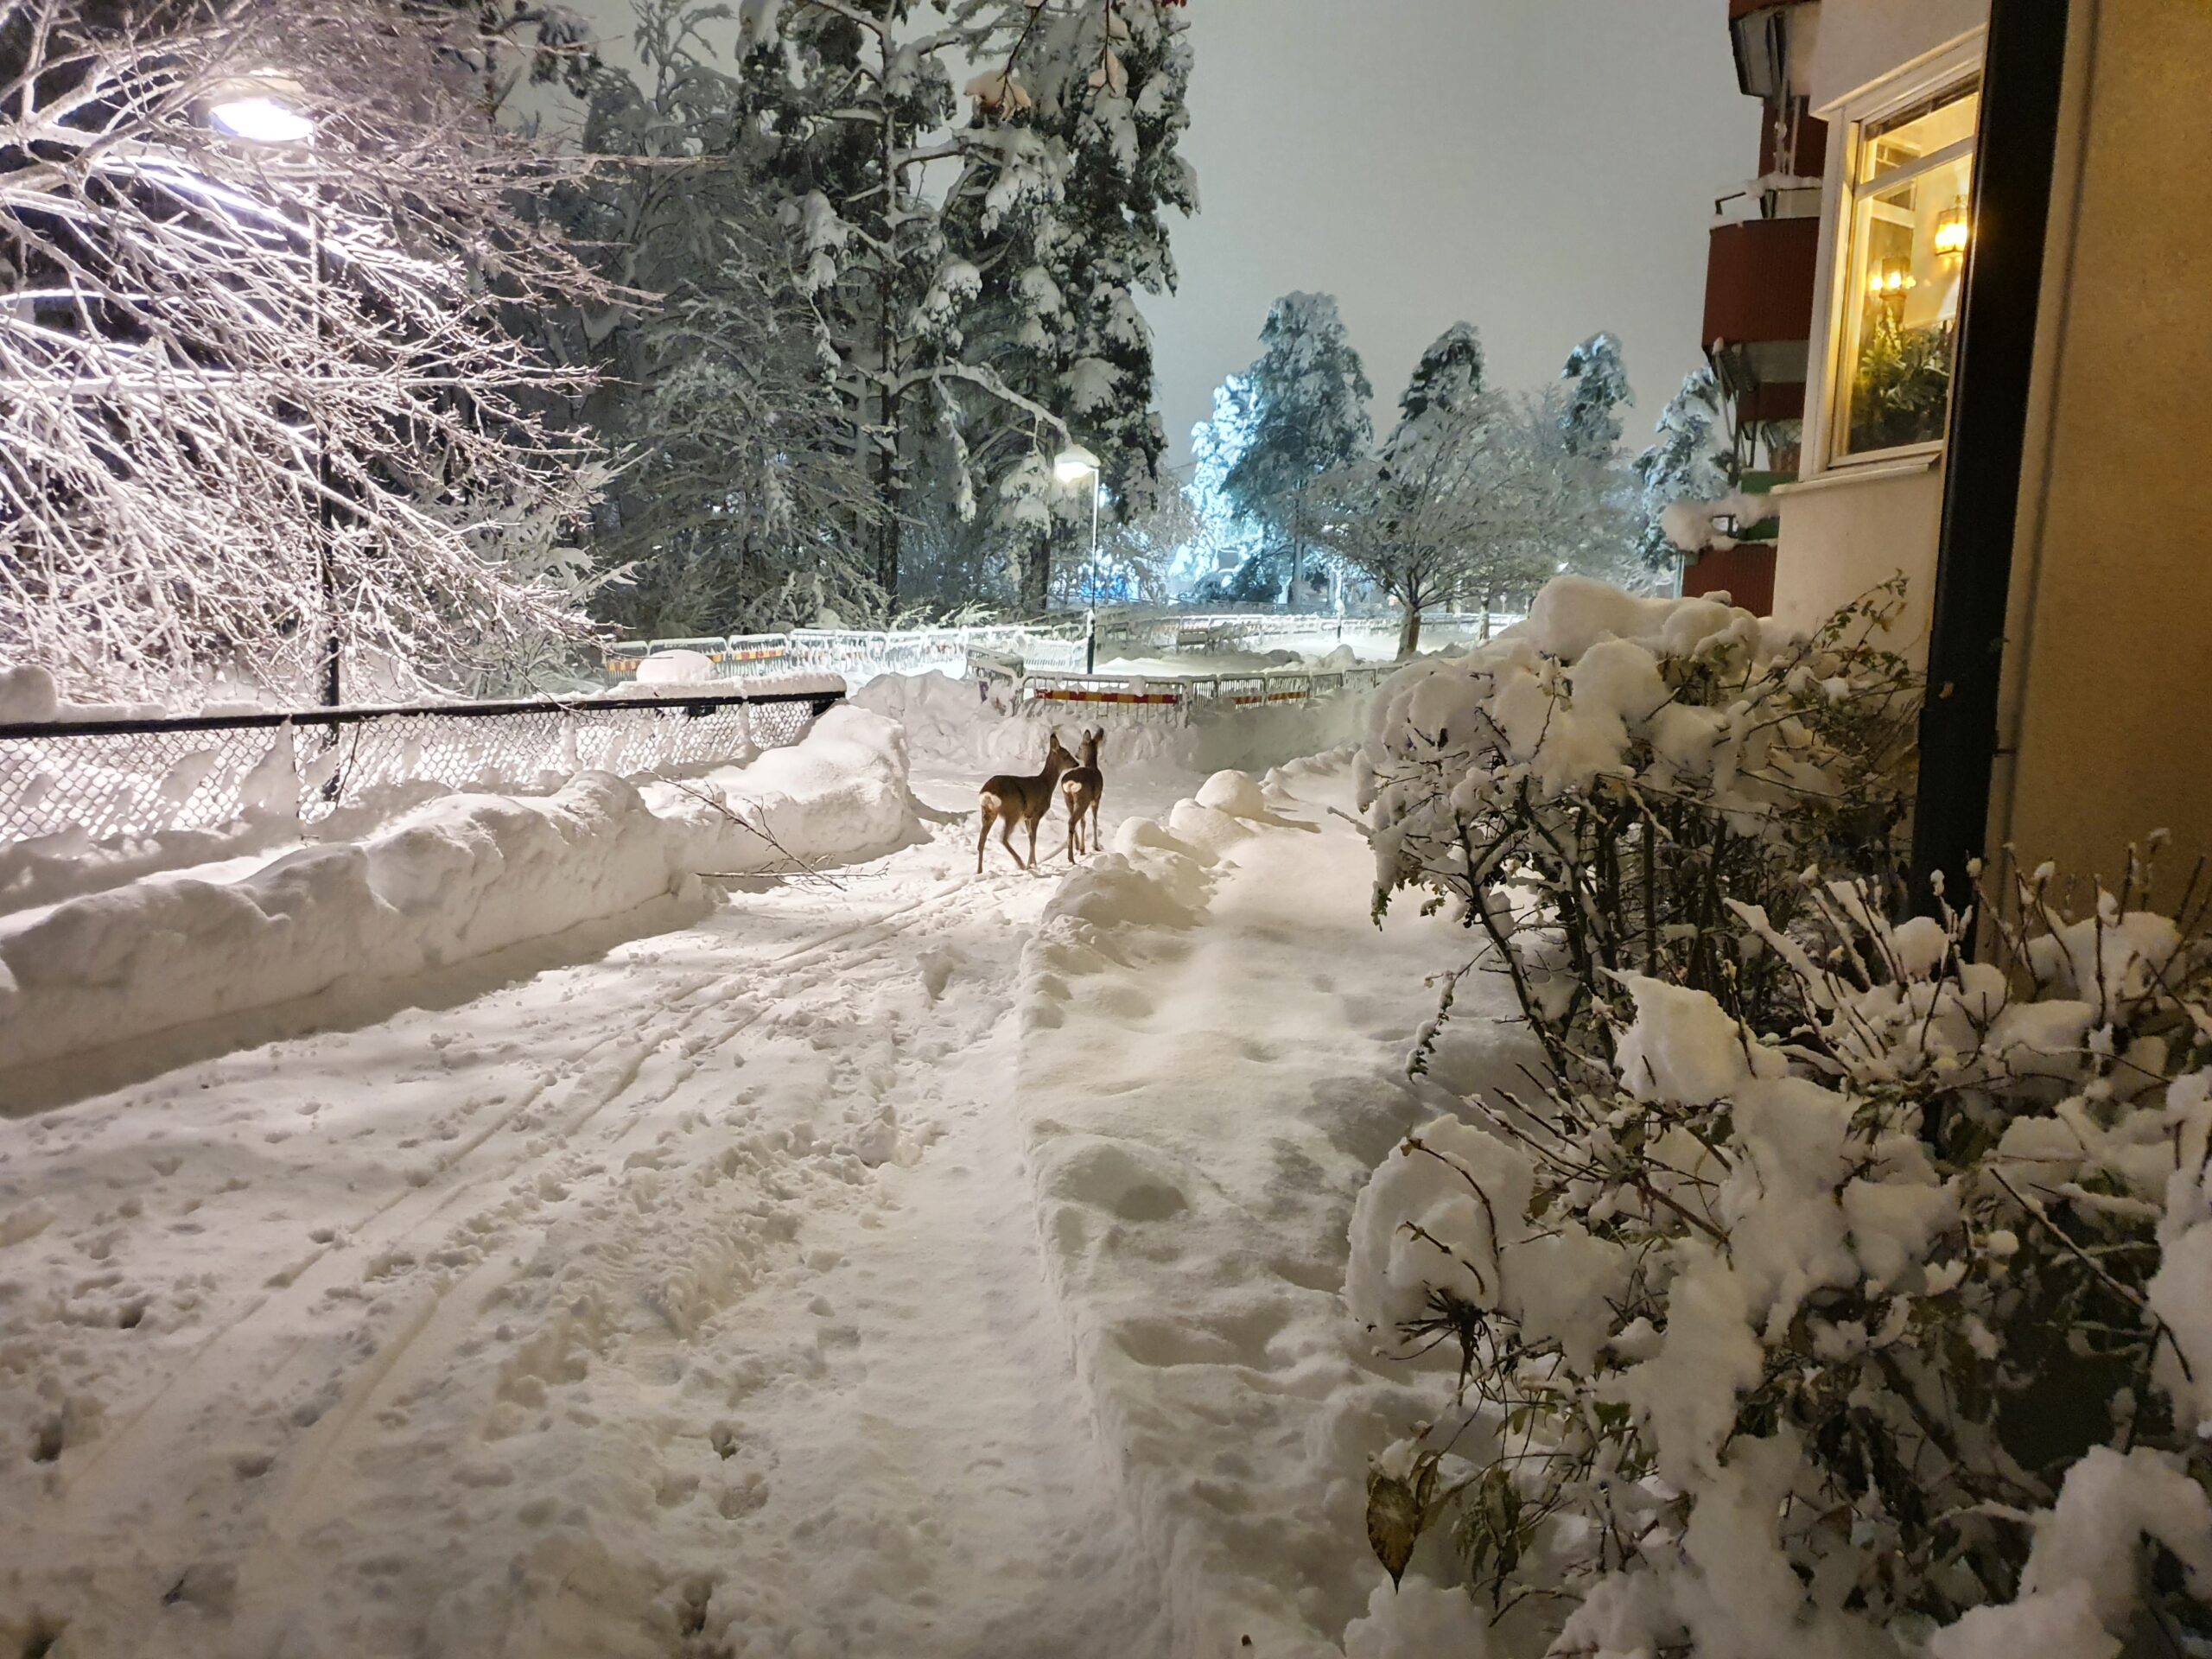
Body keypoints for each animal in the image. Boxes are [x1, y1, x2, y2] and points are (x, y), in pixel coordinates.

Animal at [977, 729, 1078, 873]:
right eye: (1066, 754)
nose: (1077, 763)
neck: (1046, 784)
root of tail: (988, 791)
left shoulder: (1027, 817)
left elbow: (1030, 838)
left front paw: (1033, 863)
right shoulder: (1036, 813)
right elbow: (1033, 839)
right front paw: (1032, 864)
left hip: (988, 812)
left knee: (981, 841)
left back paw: (979, 871)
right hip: (1012, 810)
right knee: (1003, 838)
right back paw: (1021, 864)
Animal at [1061, 727, 1105, 862]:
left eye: (1079, 747)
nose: (1076, 754)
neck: (1093, 767)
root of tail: (1071, 783)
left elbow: (1083, 823)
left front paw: (1082, 849)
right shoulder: (1097, 798)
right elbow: (1094, 821)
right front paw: (1096, 846)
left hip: (1068, 798)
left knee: (1071, 820)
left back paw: (1074, 848)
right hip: (1083, 799)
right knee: (1072, 821)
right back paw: (1070, 857)